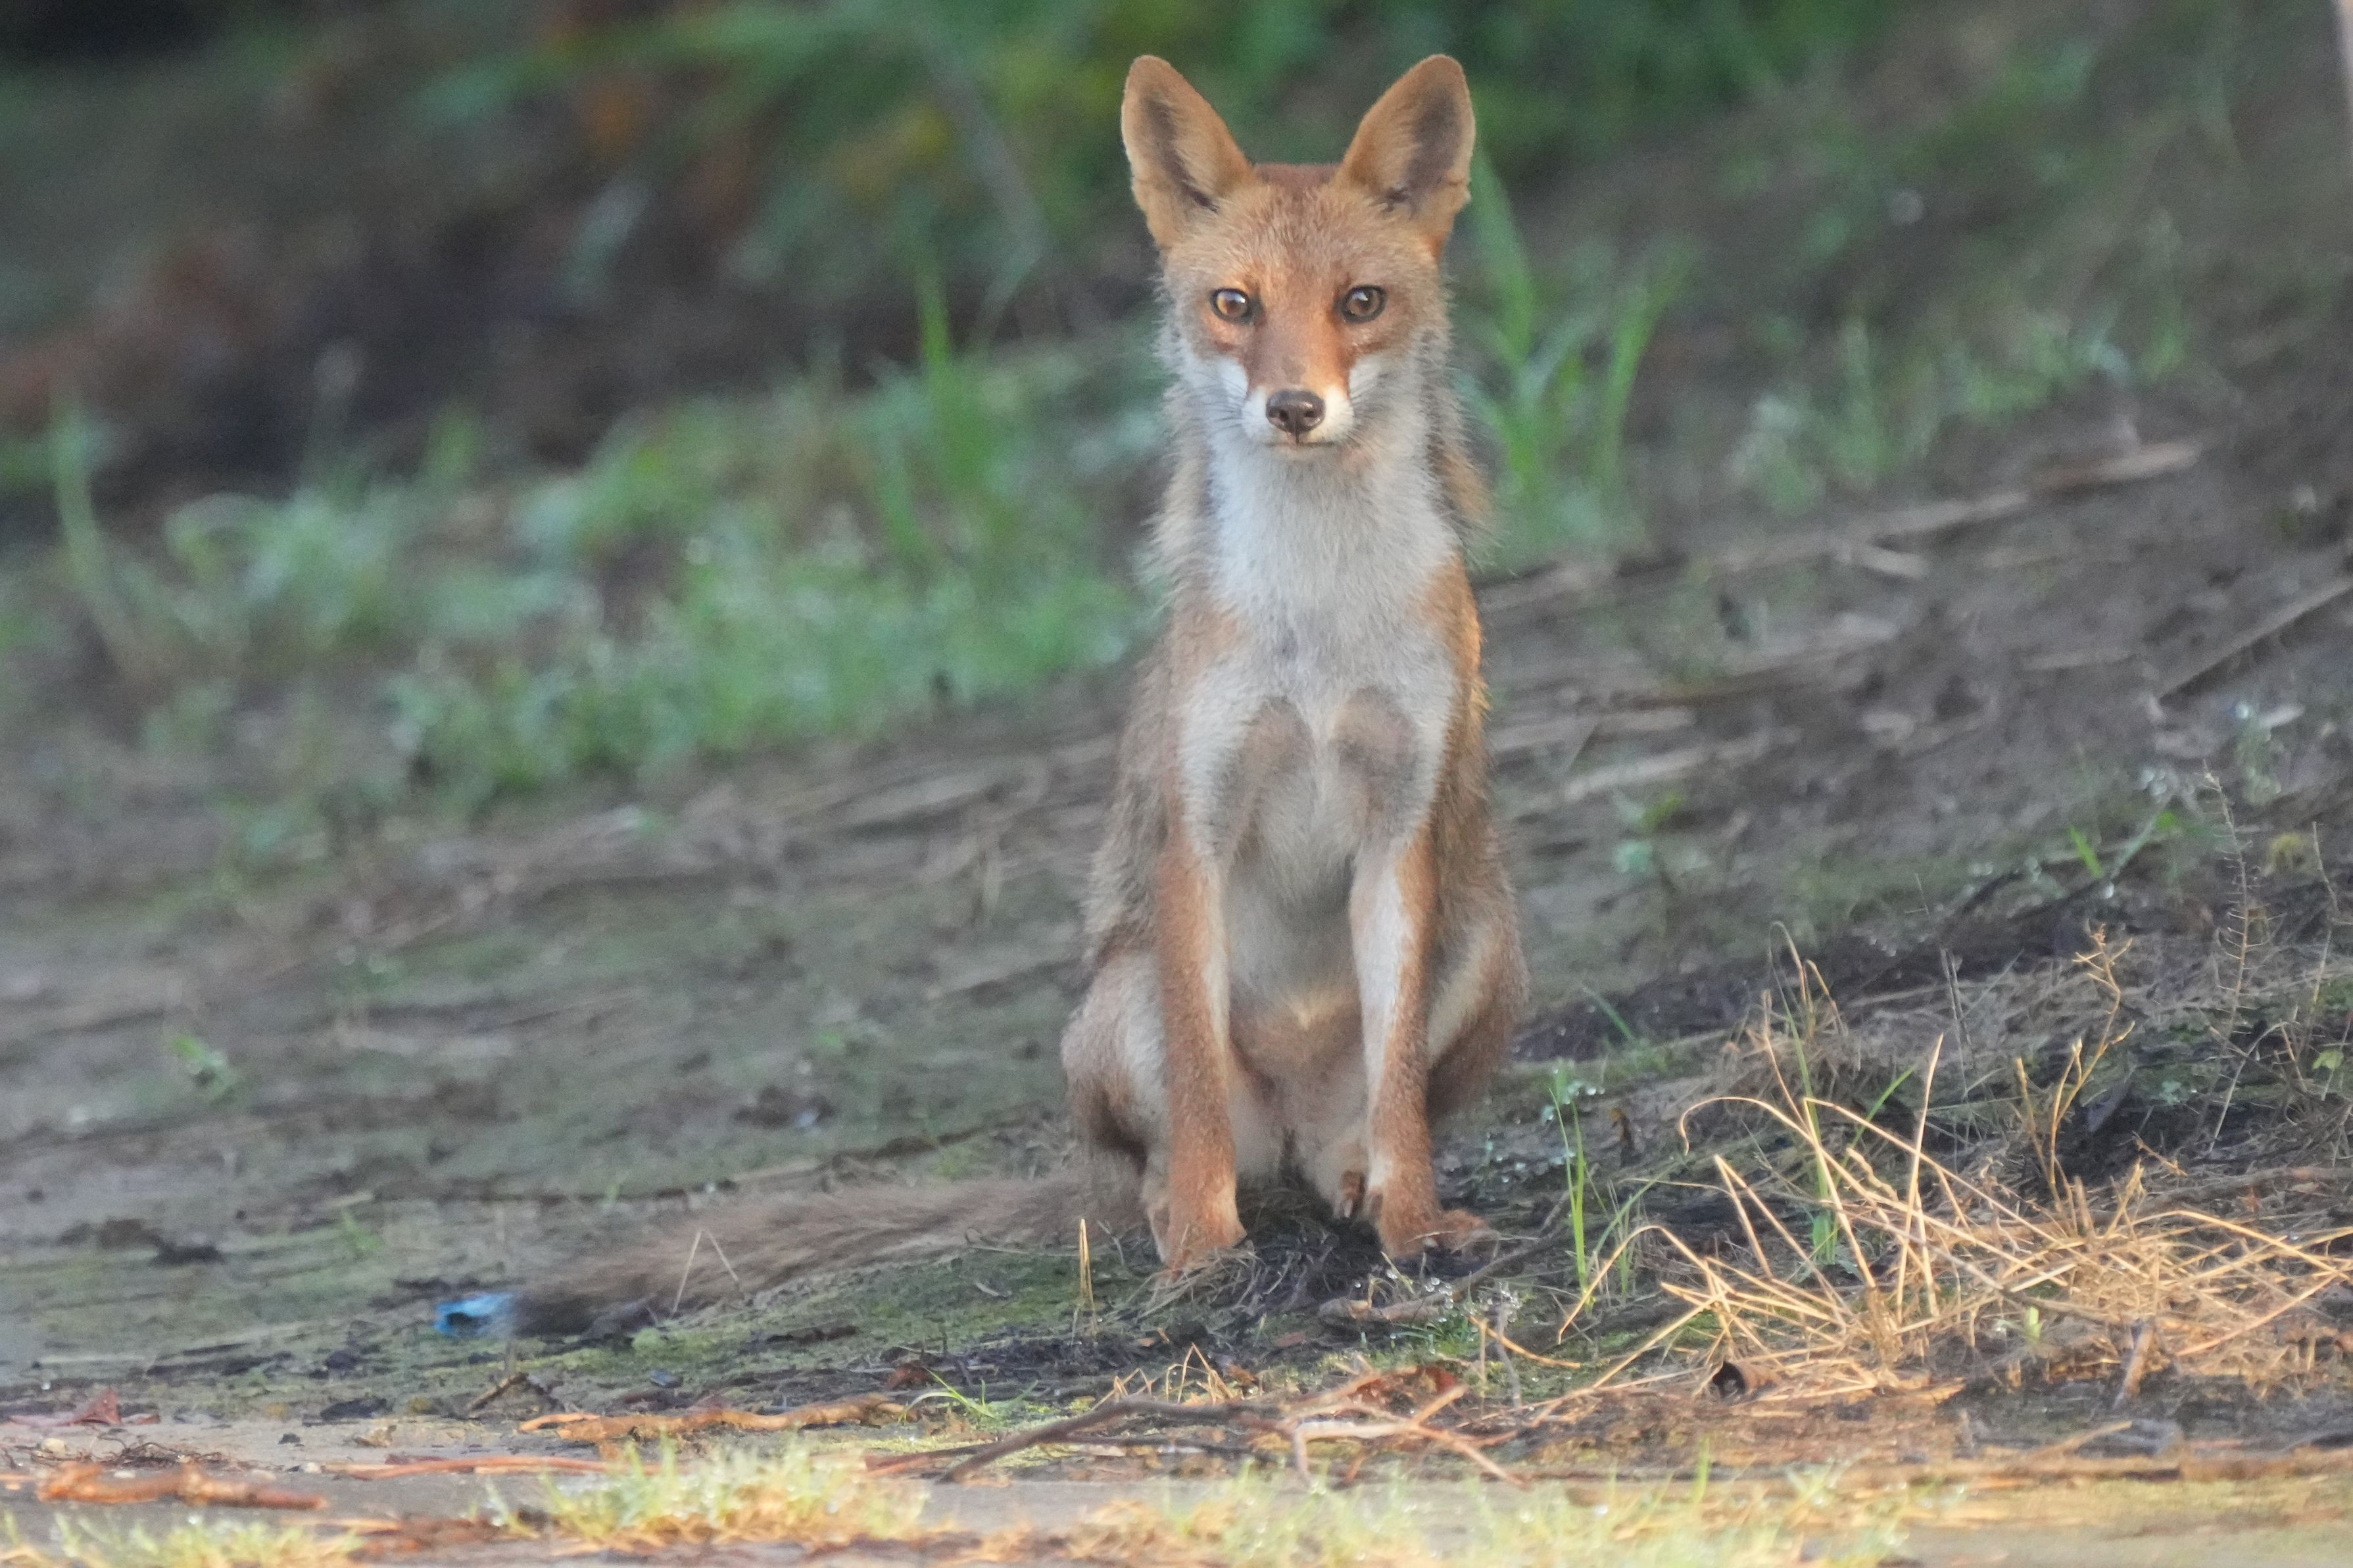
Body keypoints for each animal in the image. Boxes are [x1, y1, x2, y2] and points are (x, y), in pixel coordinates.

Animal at [473, 53, 1525, 1337]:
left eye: (1360, 303)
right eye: (1234, 305)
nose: (1292, 409)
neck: (1318, 617)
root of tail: (1284, 1139)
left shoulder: (1399, 829)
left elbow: (1403, 1109)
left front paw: (1415, 1229)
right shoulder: (1196, 834)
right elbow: (1195, 1115)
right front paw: (1203, 1260)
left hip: (1485, 937)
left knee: (1353, 1132)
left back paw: (1352, 1189)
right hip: (1119, 1005)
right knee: (1170, 1163)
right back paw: (1181, 1220)